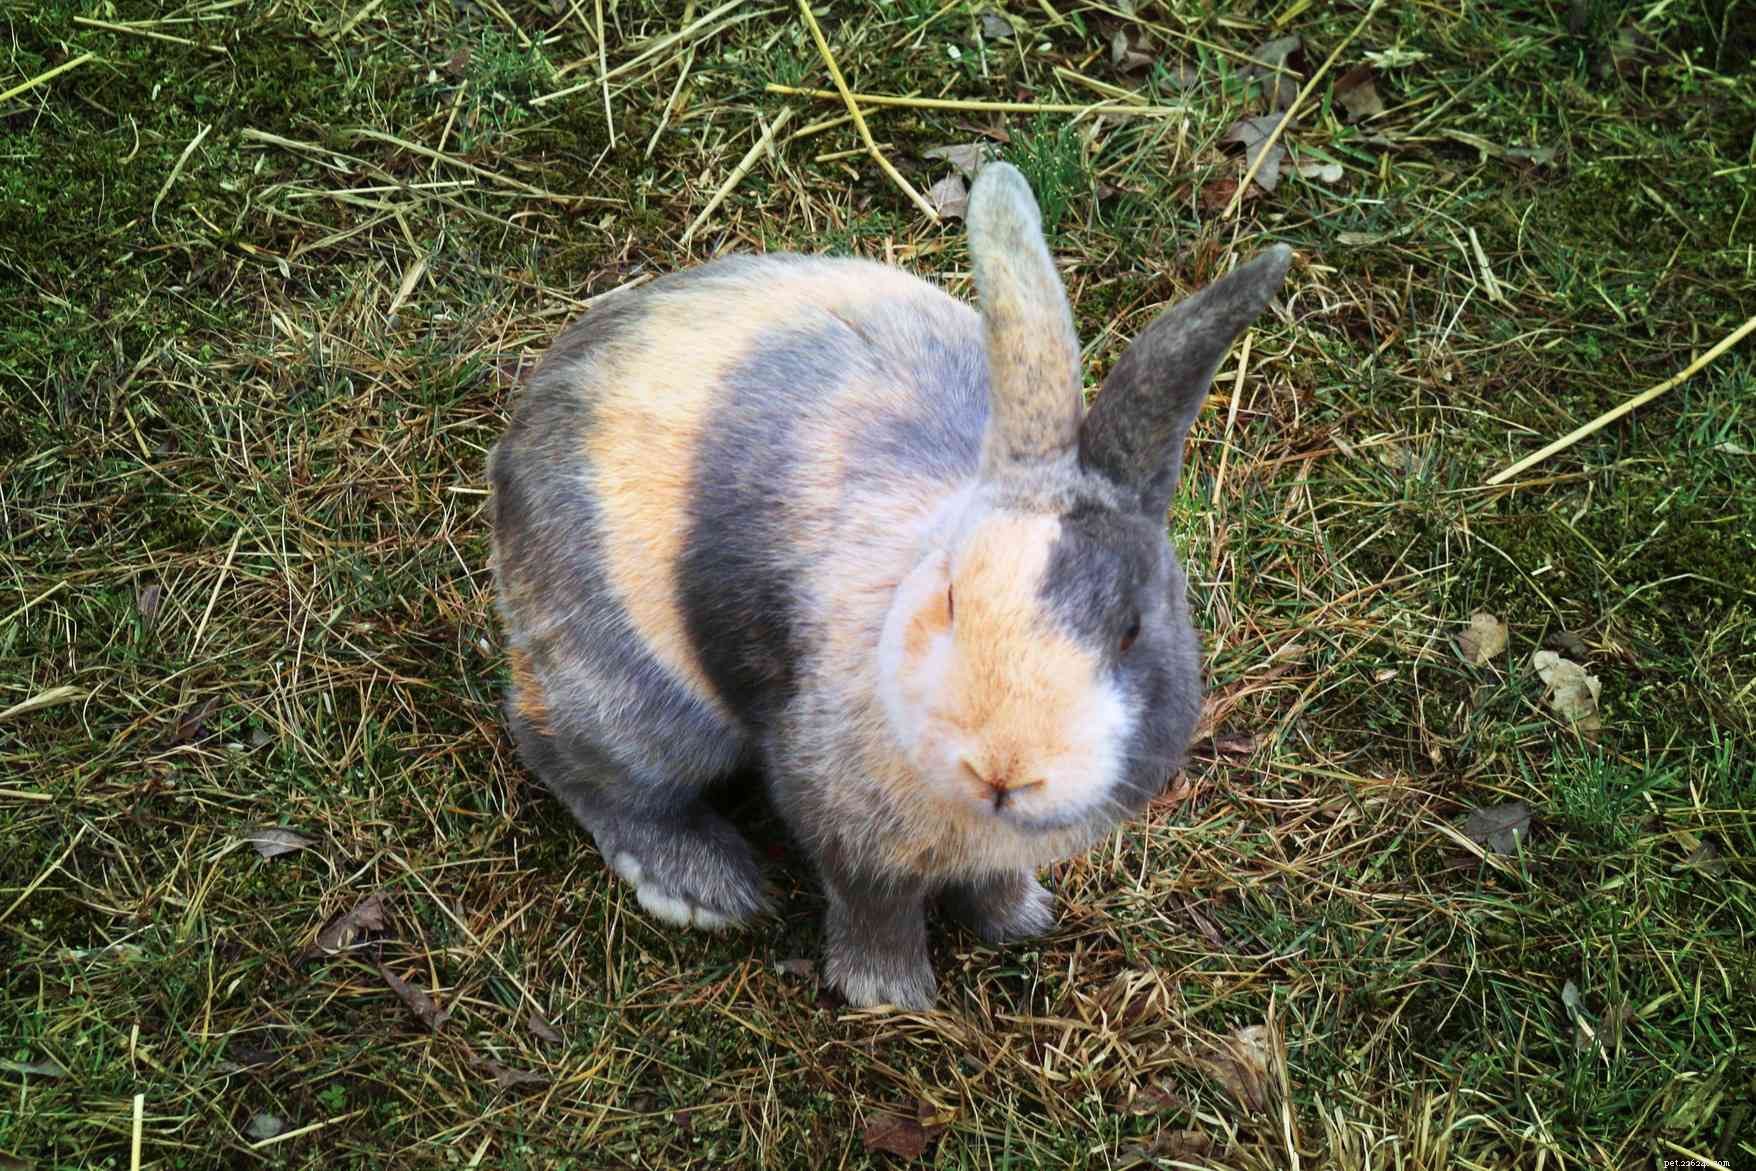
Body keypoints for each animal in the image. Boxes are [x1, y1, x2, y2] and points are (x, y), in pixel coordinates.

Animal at [488, 160, 1291, 1010]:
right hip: (640, 695)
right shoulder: (838, 814)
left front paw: (1019, 920)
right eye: (951, 596)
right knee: (575, 759)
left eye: (1133, 628)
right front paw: (888, 993)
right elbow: (873, 903)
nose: (1003, 767)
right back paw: (705, 887)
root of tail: (522, 434)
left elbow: (993, 881)